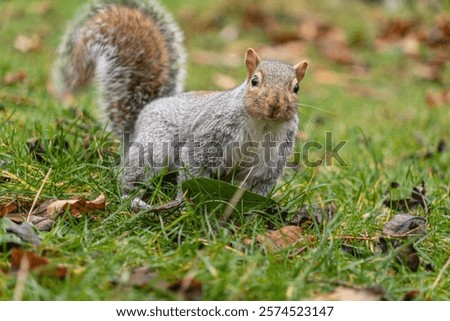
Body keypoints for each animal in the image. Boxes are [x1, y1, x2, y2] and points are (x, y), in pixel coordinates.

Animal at [51, 0, 306, 210]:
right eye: (254, 81)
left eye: (296, 88)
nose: (274, 103)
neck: (262, 124)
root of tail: (142, 115)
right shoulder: (211, 134)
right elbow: (193, 164)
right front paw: (187, 203)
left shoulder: (269, 160)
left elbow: (256, 187)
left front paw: (248, 214)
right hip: (155, 145)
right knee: (129, 175)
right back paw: (133, 200)